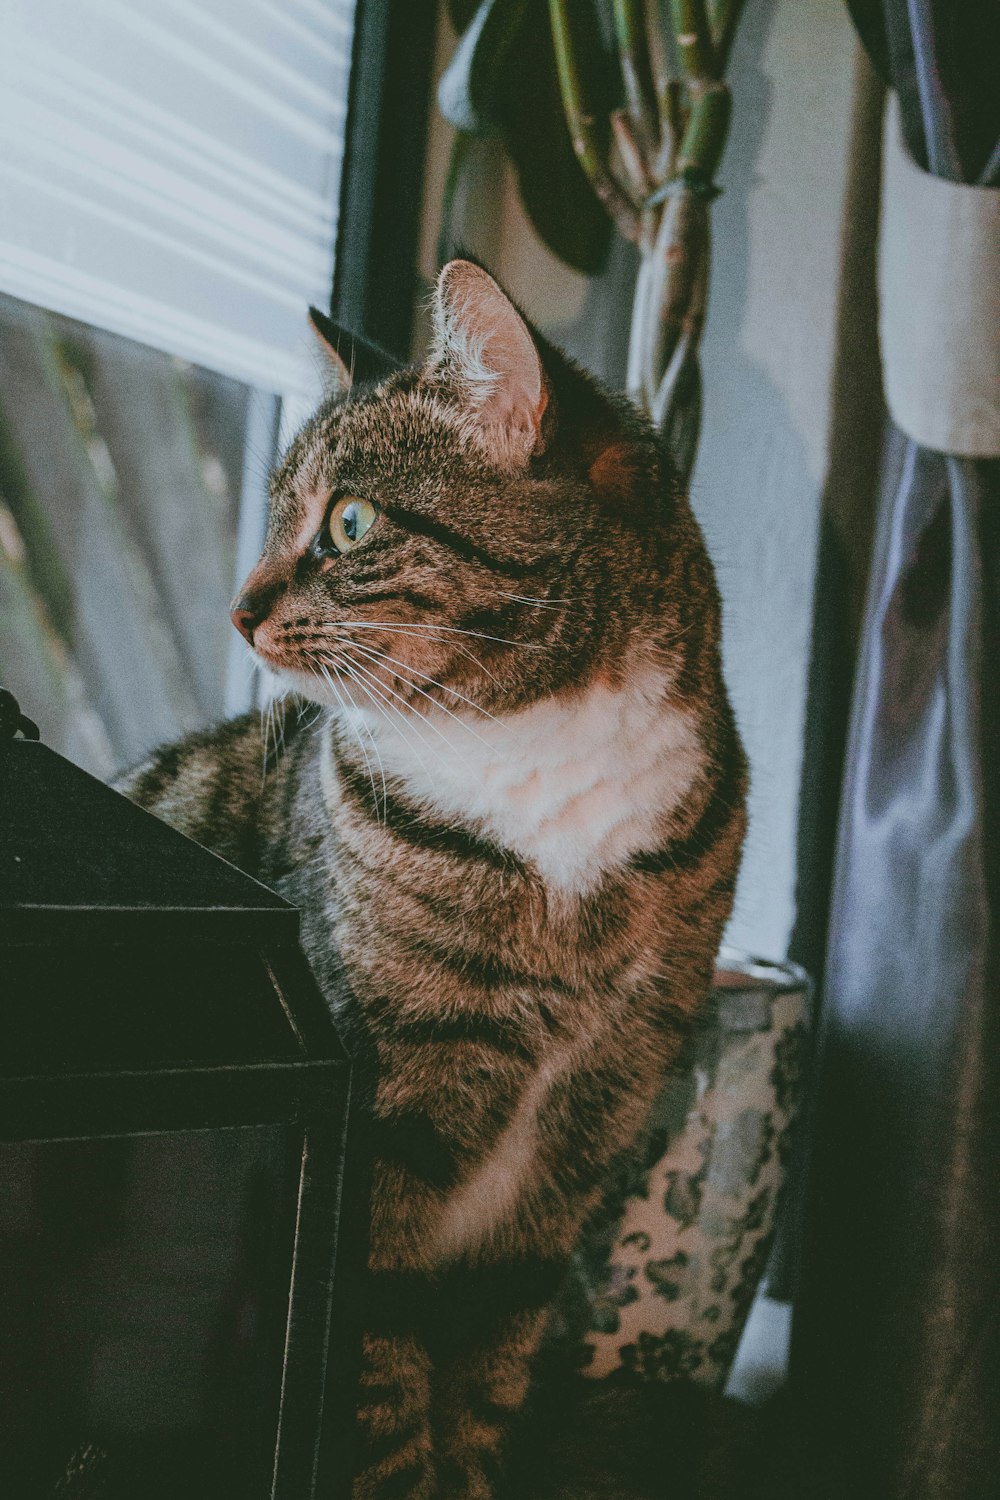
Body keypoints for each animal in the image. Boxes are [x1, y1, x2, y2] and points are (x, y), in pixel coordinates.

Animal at [119, 264, 743, 1494]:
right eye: (277, 513)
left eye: (349, 522)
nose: (237, 611)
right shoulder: (377, 1128)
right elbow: (379, 1375)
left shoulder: (587, 1133)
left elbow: (488, 1364)